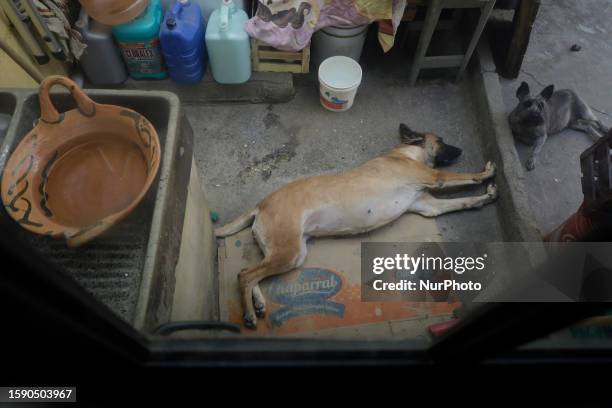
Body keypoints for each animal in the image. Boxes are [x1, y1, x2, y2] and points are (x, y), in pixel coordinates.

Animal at [215, 124, 498, 328]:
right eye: (440, 140)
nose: (460, 150)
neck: (404, 153)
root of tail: (260, 204)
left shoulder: (429, 206)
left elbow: (463, 201)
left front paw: (485, 197)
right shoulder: (436, 177)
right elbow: (466, 177)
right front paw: (486, 173)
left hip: (286, 252)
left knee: (248, 272)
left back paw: (259, 303)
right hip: (289, 252)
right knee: (245, 275)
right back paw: (250, 314)